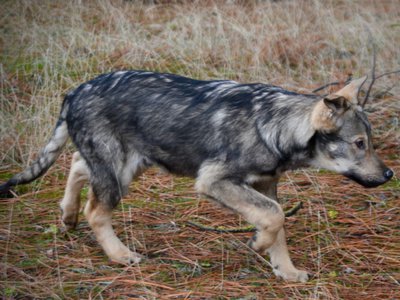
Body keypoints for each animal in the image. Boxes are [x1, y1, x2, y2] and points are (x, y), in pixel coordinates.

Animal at [0, 70, 394, 282]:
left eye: (370, 142)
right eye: (359, 144)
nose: (390, 174)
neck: (273, 126)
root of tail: (75, 91)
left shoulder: (266, 185)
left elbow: (277, 223)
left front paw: (285, 271)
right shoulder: (213, 181)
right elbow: (274, 217)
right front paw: (258, 246)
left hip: (126, 165)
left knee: (77, 166)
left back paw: (66, 215)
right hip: (120, 171)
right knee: (95, 210)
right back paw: (120, 255)